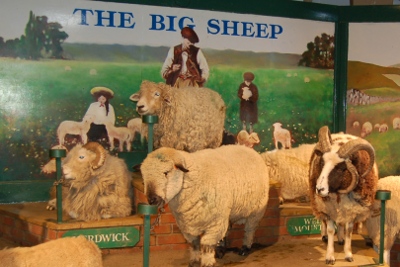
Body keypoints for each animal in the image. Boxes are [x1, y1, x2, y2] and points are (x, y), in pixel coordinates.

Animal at [310, 126, 378, 264]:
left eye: (341, 168)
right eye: (322, 163)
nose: (319, 189)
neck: (338, 194)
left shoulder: (352, 211)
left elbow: (348, 232)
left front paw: (348, 254)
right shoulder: (327, 208)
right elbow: (331, 229)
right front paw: (330, 256)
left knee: (341, 223)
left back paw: (341, 239)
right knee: (323, 221)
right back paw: (324, 236)